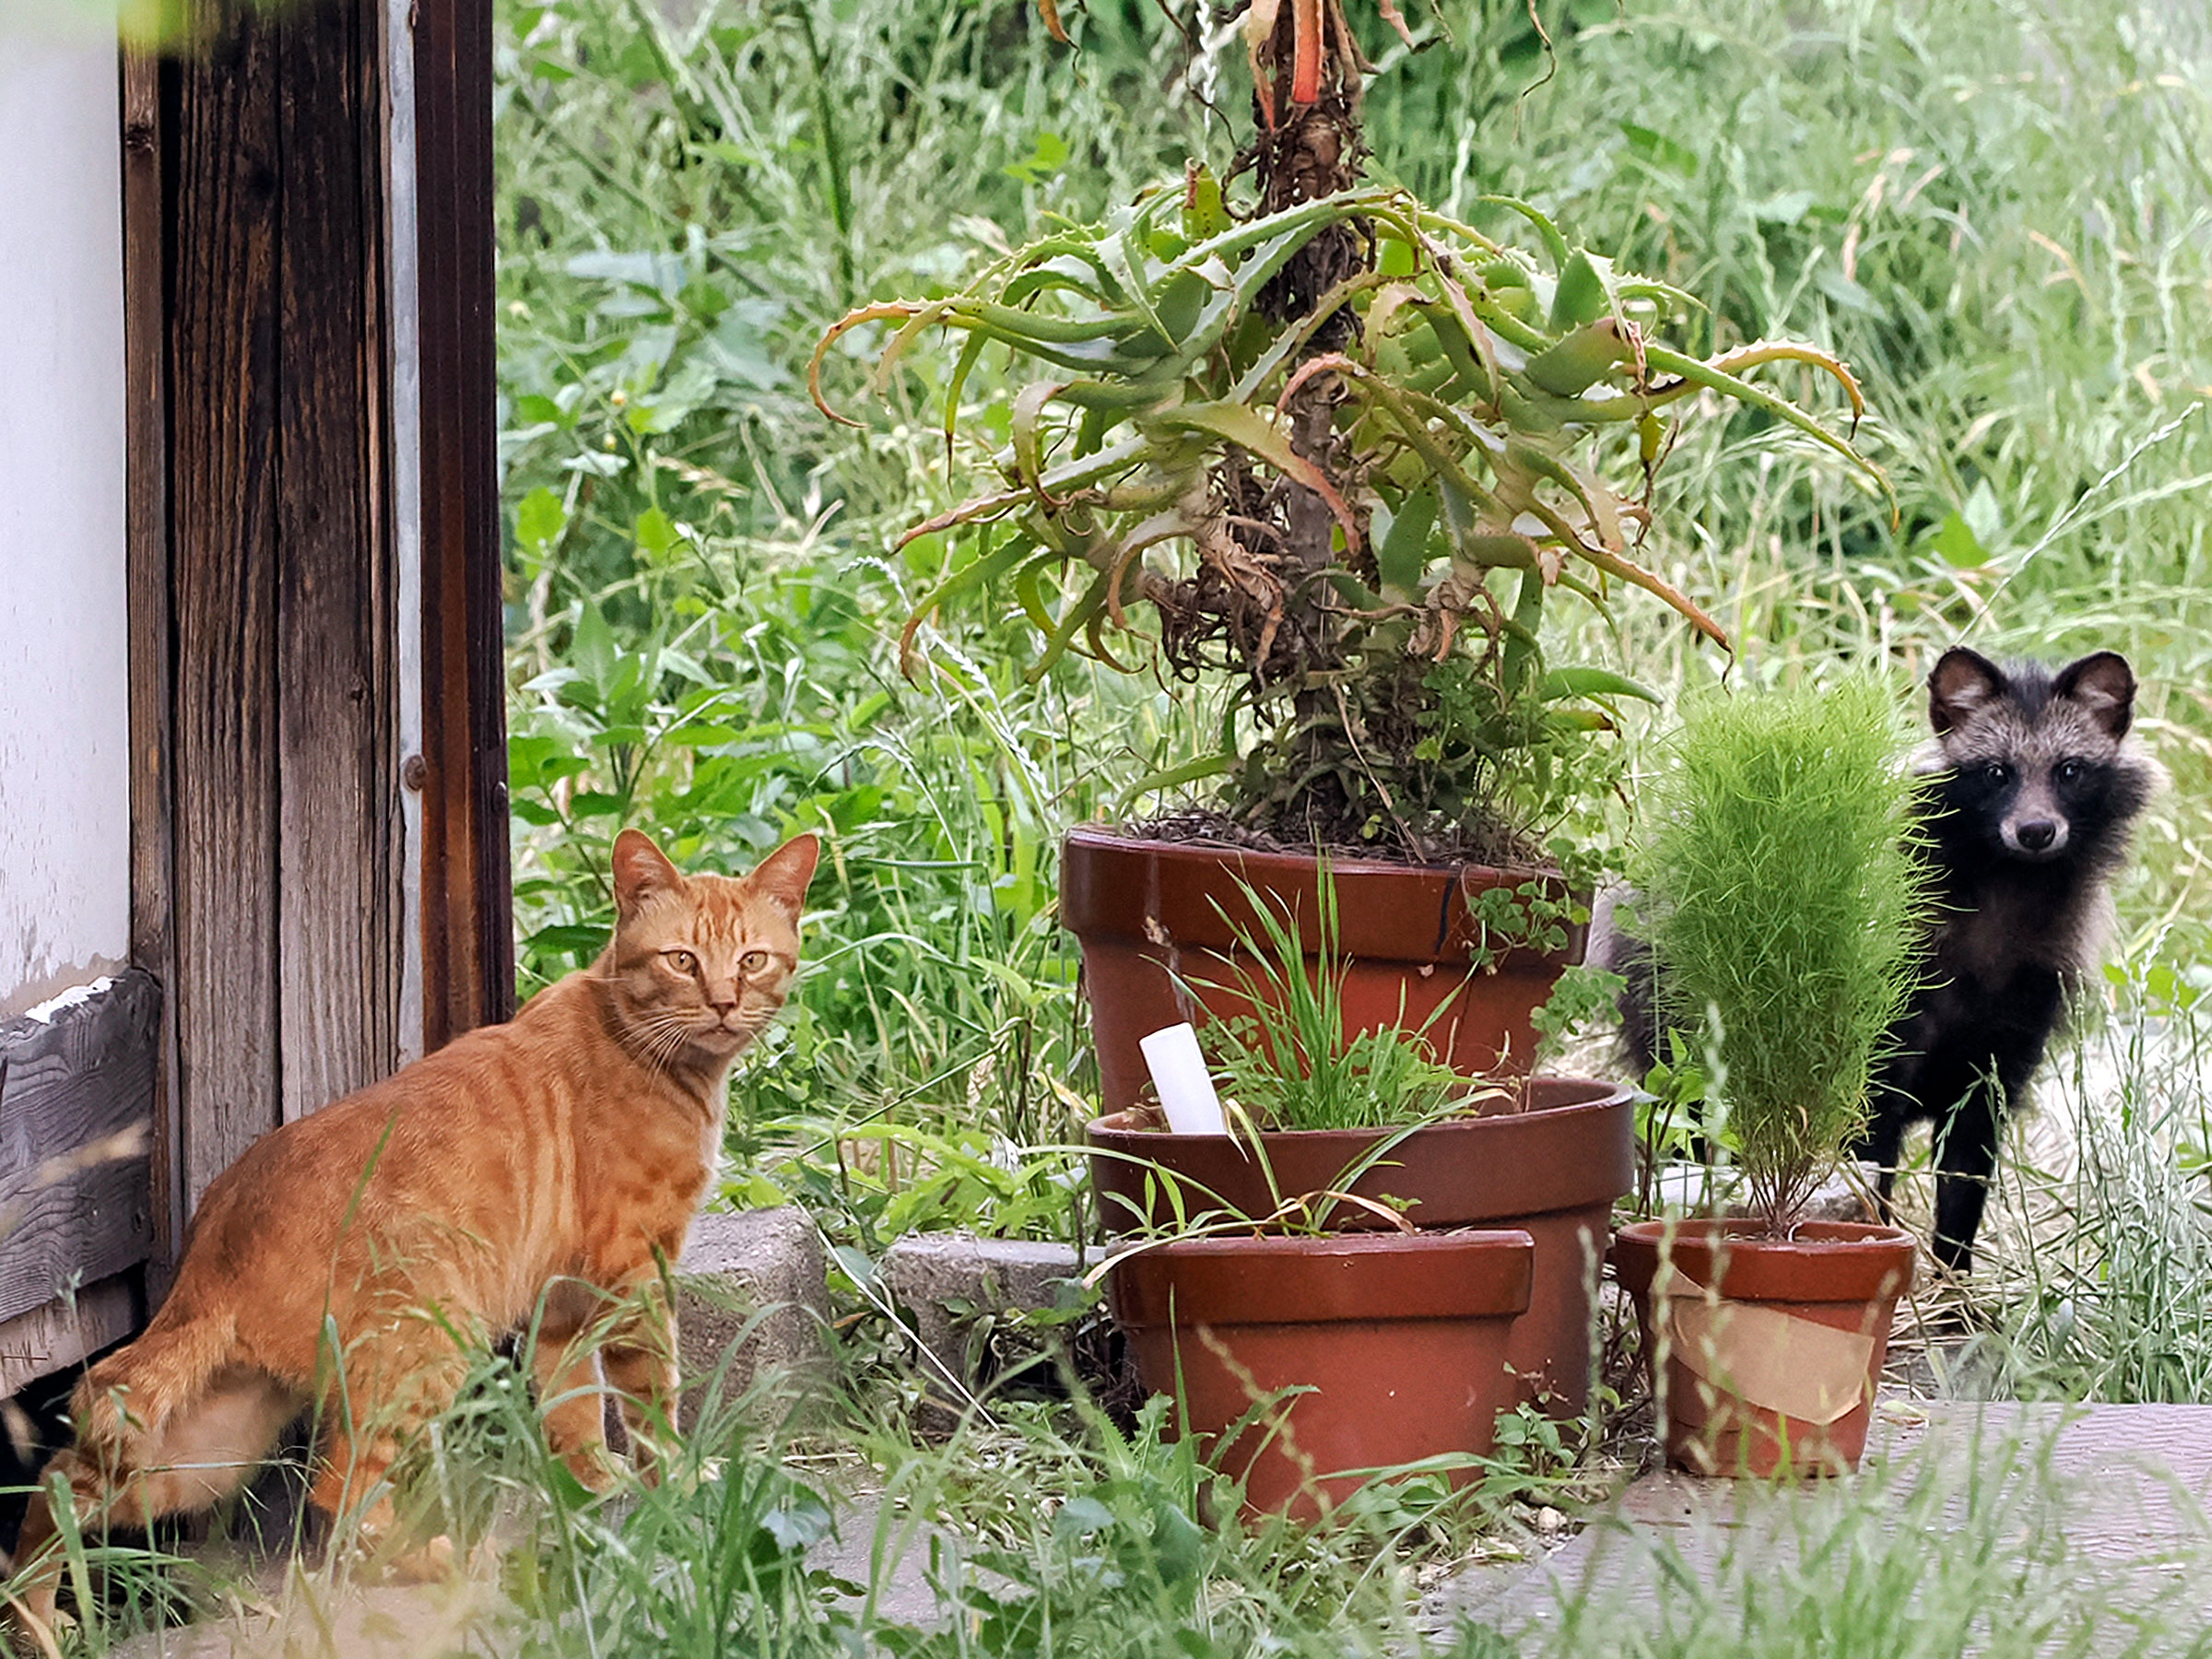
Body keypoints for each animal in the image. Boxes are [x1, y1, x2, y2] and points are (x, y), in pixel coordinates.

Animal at [8, 827, 822, 1637]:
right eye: (682, 960)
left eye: (752, 960)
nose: (724, 1002)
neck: (647, 1045)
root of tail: (215, 1243)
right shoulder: (634, 1271)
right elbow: (651, 1396)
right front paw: (674, 1482)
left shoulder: (561, 1299)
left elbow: (574, 1404)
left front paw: (594, 1483)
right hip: (427, 1344)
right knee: (340, 1493)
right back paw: (445, 1562)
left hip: (207, 1448)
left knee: (58, 1484)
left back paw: (36, 1621)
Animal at [1866, 650, 2159, 1274]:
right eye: (1996, 772)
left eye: (2070, 770)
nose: (2036, 830)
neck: (2009, 882)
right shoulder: (1888, 1014)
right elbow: (1867, 1147)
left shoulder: (2014, 1030)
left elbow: (1966, 1172)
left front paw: (1954, 1278)